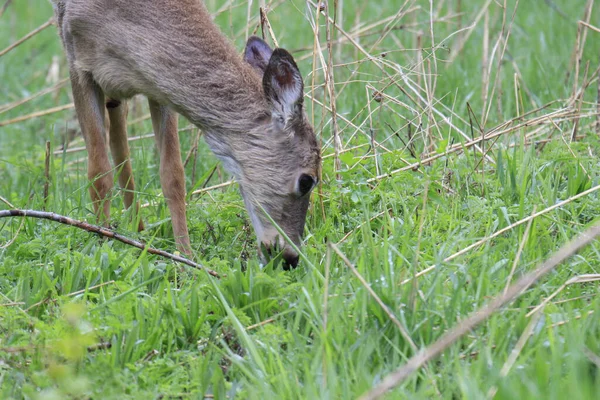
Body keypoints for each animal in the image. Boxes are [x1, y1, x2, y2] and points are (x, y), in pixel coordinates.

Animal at [52, 0, 322, 268]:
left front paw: (186, 260)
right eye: (306, 181)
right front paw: (102, 244)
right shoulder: (76, 59)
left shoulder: (156, 84)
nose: (290, 257)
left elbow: (173, 175)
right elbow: (98, 174)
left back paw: (137, 231)